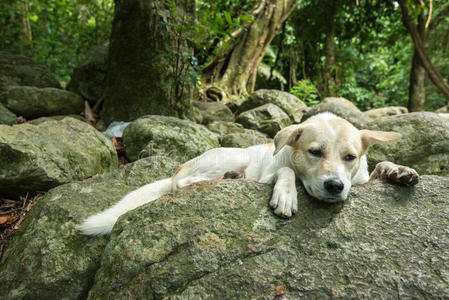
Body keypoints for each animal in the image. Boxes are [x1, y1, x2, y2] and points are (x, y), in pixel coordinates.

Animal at [79, 112, 418, 234]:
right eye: (314, 152)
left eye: (350, 157)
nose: (335, 186)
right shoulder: (272, 172)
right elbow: (287, 171)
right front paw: (286, 196)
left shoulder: (360, 179)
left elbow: (381, 167)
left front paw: (400, 171)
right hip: (225, 158)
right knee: (179, 184)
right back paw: (215, 179)